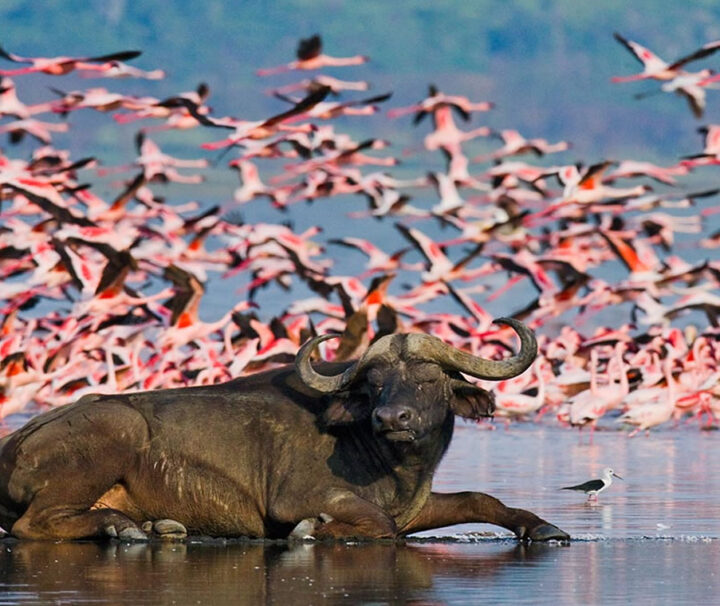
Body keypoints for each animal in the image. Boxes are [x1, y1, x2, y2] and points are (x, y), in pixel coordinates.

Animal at [0, 320, 568, 544]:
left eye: (430, 379)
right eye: (376, 384)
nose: (391, 419)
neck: (395, 465)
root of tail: (16, 443)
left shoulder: (417, 507)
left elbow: (481, 498)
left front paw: (543, 527)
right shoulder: (297, 498)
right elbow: (374, 523)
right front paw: (314, 531)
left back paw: (156, 527)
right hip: (112, 433)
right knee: (33, 524)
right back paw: (123, 529)